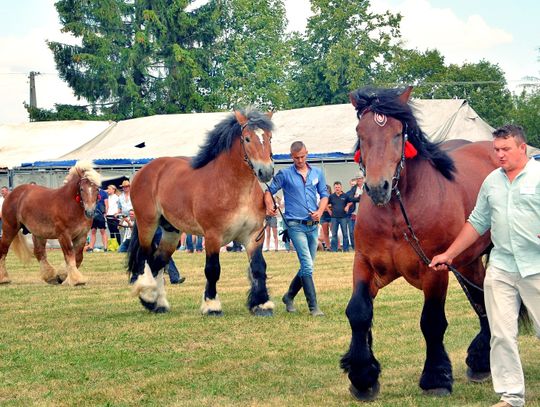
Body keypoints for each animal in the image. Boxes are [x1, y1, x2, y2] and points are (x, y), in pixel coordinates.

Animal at [128, 110, 276, 318]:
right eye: (247, 138)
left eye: (269, 138)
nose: (266, 171)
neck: (234, 188)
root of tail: (145, 170)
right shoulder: (213, 237)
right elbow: (213, 270)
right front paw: (212, 305)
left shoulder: (254, 236)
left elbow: (258, 267)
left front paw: (262, 304)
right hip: (147, 224)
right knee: (145, 258)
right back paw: (148, 296)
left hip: (171, 231)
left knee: (158, 261)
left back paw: (159, 303)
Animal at [340, 87, 500, 402]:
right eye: (360, 132)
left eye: (397, 133)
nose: (378, 187)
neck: (397, 213)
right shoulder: (365, 263)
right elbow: (359, 312)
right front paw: (363, 377)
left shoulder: (434, 269)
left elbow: (432, 321)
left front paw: (436, 378)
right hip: (469, 262)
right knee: (481, 299)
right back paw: (481, 361)